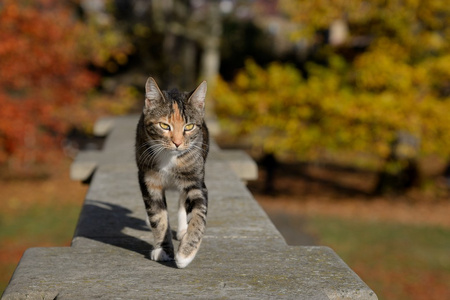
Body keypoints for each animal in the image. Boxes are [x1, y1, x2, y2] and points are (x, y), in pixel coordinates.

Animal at [134, 76, 210, 268]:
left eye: (189, 126)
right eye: (164, 125)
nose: (177, 143)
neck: (169, 158)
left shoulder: (196, 180)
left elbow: (199, 214)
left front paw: (185, 253)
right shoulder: (149, 180)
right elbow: (158, 217)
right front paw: (163, 249)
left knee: (183, 198)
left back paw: (183, 230)